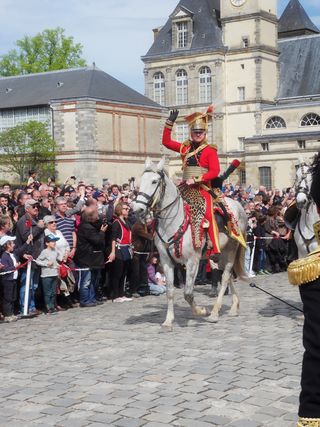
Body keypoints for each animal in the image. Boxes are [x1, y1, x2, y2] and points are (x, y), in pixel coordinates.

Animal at [133, 158, 248, 332]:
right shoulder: (166, 262)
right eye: (141, 181)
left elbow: (187, 293)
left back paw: (214, 312)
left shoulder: (192, 261)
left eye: (154, 181)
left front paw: (201, 311)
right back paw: (234, 307)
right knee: (227, 276)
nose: (137, 209)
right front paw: (168, 321)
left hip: (231, 250)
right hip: (219, 254)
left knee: (225, 276)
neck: (174, 221)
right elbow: (170, 292)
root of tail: (238, 205)